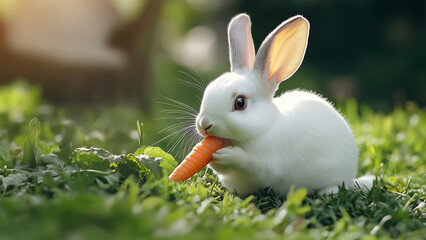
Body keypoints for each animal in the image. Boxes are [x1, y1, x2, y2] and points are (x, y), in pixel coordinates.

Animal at [195, 14, 372, 196]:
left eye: (240, 103)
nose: (204, 124)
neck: (265, 128)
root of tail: (351, 177)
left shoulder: (266, 165)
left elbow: (248, 163)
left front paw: (226, 155)